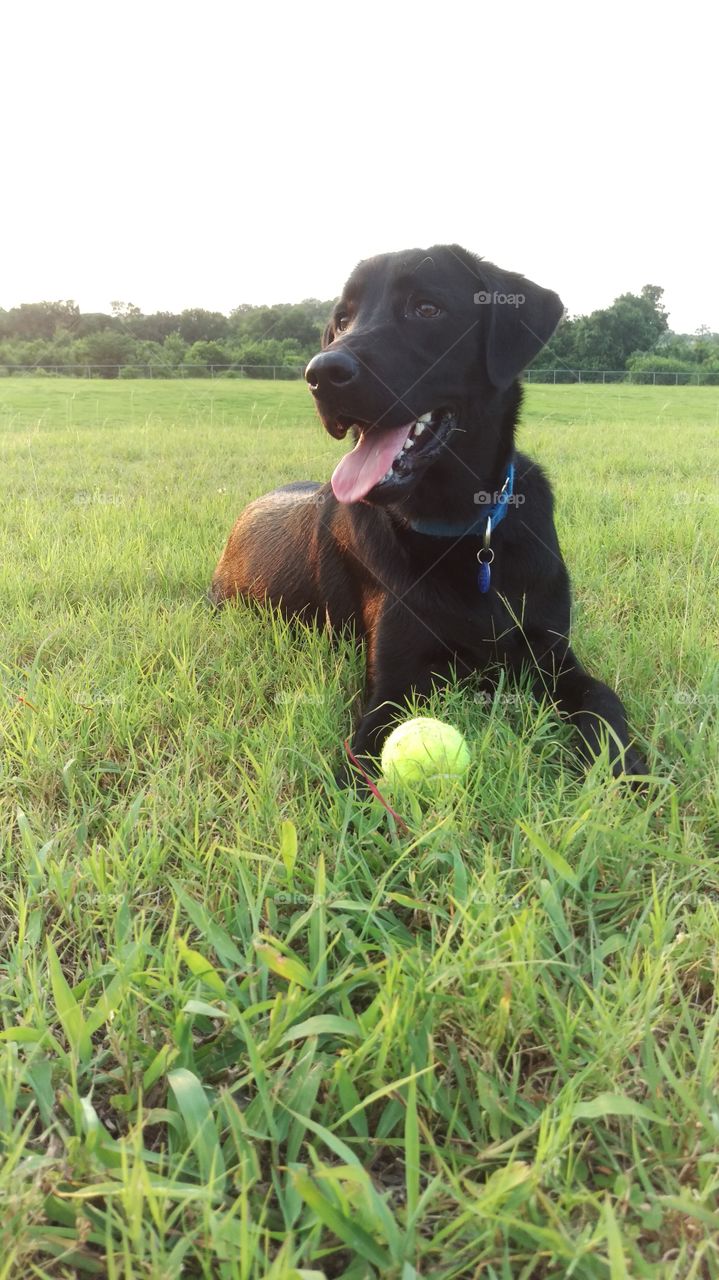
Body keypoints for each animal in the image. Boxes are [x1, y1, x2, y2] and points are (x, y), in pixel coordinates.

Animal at [209, 240, 647, 778]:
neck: (462, 532)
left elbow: (604, 699)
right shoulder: (393, 685)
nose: (320, 374)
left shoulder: (552, 654)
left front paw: (623, 770)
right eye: (342, 319)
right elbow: (362, 762)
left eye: (426, 309)